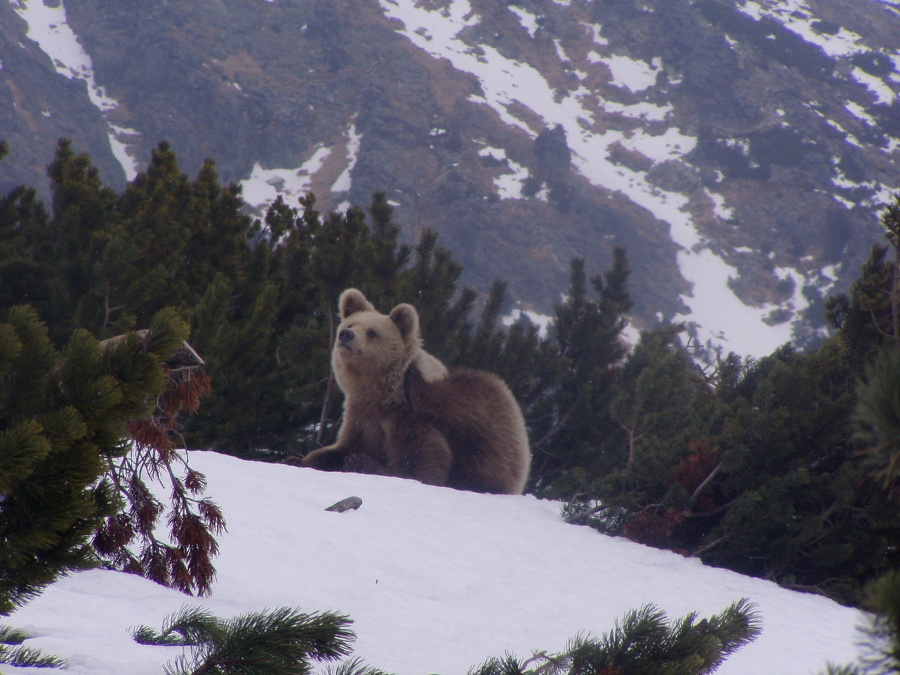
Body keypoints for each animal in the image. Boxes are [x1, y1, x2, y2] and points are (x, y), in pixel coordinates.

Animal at [302, 288, 532, 494]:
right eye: (351, 324)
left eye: (372, 332)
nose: (346, 334)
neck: (379, 394)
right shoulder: (362, 417)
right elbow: (340, 447)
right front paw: (316, 459)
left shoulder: (409, 420)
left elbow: (422, 465)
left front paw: (361, 461)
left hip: (486, 428)